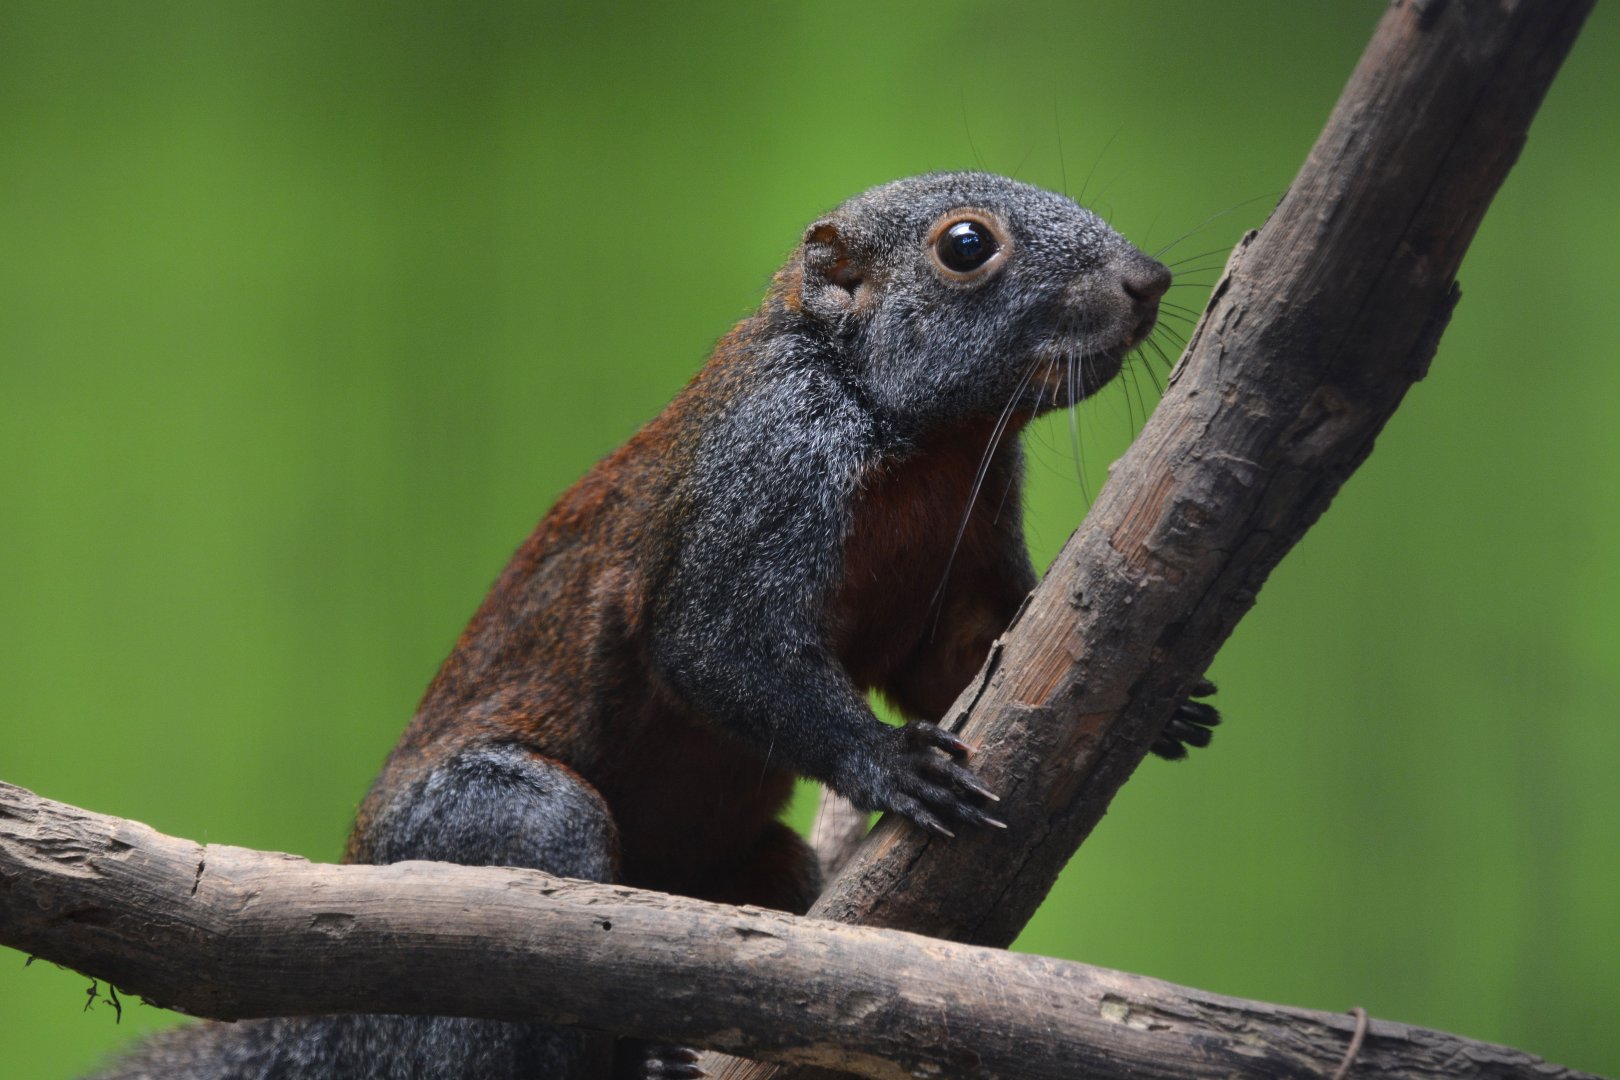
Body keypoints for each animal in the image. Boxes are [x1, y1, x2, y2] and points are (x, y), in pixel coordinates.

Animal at [88, 171, 1216, 1079]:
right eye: (967, 245)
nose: (1150, 280)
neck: (925, 444)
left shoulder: (962, 565)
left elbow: (974, 657)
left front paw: (1167, 708)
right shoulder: (770, 463)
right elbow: (717, 645)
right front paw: (894, 762)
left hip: (756, 863)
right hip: (506, 833)